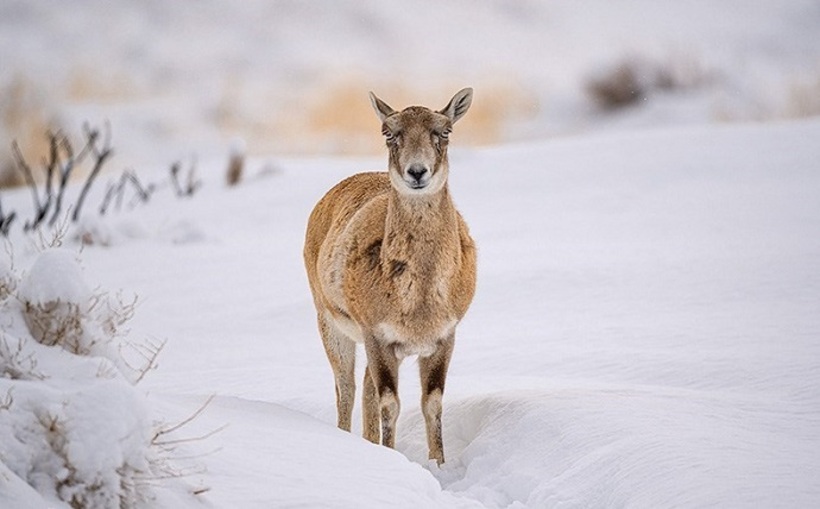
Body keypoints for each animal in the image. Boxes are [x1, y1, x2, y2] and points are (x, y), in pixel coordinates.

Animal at [304, 88, 478, 464]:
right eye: (389, 133)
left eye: (444, 131)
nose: (417, 172)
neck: (419, 299)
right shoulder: (378, 337)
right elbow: (389, 404)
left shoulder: (444, 338)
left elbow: (432, 403)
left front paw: (439, 464)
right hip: (331, 326)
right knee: (346, 389)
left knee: (365, 389)